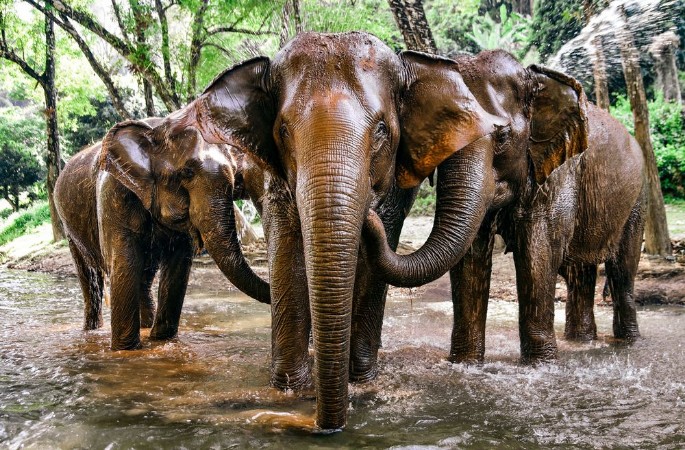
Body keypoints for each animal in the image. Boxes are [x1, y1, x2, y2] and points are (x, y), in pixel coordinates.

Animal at [54, 117, 270, 351]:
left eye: (235, 177)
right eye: (187, 173)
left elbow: (178, 265)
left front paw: (161, 340)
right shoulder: (112, 193)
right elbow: (124, 262)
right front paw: (125, 351)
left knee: (144, 275)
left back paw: (146, 325)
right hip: (69, 227)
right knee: (91, 276)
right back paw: (92, 330)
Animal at [129, 32, 503, 430]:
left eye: (382, 130)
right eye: (282, 131)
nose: (325, 426)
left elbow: (374, 259)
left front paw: (362, 384)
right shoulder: (272, 178)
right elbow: (288, 254)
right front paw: (290, 392)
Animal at [363, 49, 646, 365]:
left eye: (502, 137)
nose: (370, 213)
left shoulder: (558, 168)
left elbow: (538, 249)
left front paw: (540, 365)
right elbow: (472, 253)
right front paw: (465, 363)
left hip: (638, 198)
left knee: (621, 271)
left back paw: (627, 342)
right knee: (580, 273)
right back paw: (582, 341)